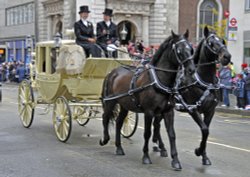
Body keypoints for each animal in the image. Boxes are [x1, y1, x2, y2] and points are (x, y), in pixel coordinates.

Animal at [99, 30, 195, 170]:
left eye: (191, 49)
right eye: (179, 50)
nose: (192, 70)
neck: (159, 80)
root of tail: (112, 72)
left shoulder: (168, 112)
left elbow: (171, 134)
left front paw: (175, 160)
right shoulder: (149, 112)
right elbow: (147, 133)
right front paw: (146, 156)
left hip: (124, 105)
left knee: (118, 122)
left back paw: (119, 147)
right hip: (111, 101)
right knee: (105, 117)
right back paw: (105, 139)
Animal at [154, 25, 232, 166]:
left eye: (222, 41)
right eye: (211, 43)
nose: (227, 56)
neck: (204, 82)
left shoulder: (210, 111)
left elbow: (206, 131)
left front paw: (204, 156)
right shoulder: (193, 109)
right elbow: (205, 130)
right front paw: (198, 151)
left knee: (157, 124)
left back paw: (159, 146)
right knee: (156, 124)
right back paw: (161, 146)